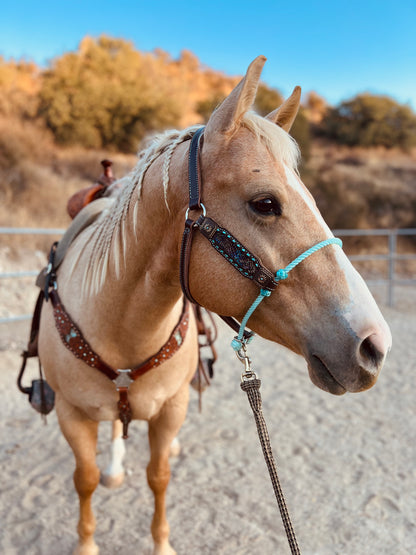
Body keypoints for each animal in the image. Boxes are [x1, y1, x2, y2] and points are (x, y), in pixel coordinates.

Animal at [38, 57, 390, 555]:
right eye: (265, 203)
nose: (374, 344)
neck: (119, 328)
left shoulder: (171, 409)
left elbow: (159, 476)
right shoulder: (71, 415)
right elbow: (84, 479)